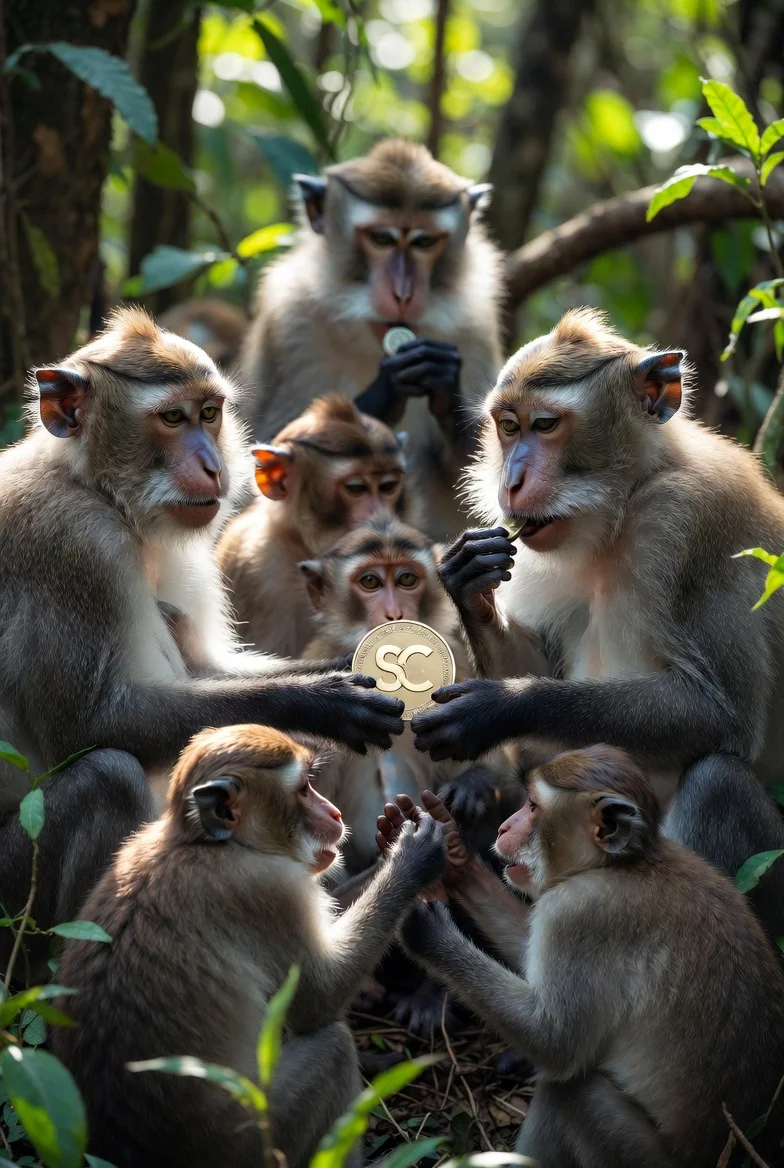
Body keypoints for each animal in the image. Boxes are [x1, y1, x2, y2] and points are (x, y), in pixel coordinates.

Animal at [53, 724, 446, 1168]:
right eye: (304, 788)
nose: (334, 814)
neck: (210, 845)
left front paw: (393, 840)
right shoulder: (268, 888)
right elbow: (320, 999)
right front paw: (411, 858)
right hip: (256, 1140)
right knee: (332, 1047)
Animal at [240, 139, 504, 541]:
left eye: (424, 241)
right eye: (382, 238)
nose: (403, 293)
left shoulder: (475, 329)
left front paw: (444, 381)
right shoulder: (288, 323)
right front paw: (384, 391)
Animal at [385, 748, 784, 1168]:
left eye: (532, 806)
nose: (504, 828)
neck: (618, 865)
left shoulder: (579, 913)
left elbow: (554, 1042)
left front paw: (426, 931)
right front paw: (455, 856)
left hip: (637, 1157)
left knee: (573, 1093)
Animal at [411, 307, 784, 939]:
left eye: (544, 425)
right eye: (508, 426)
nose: (511, 482)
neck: (623, 504)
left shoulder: (692, 524)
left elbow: (722, 713)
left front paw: (497, 706)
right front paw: (467, 579)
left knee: (718, 781)